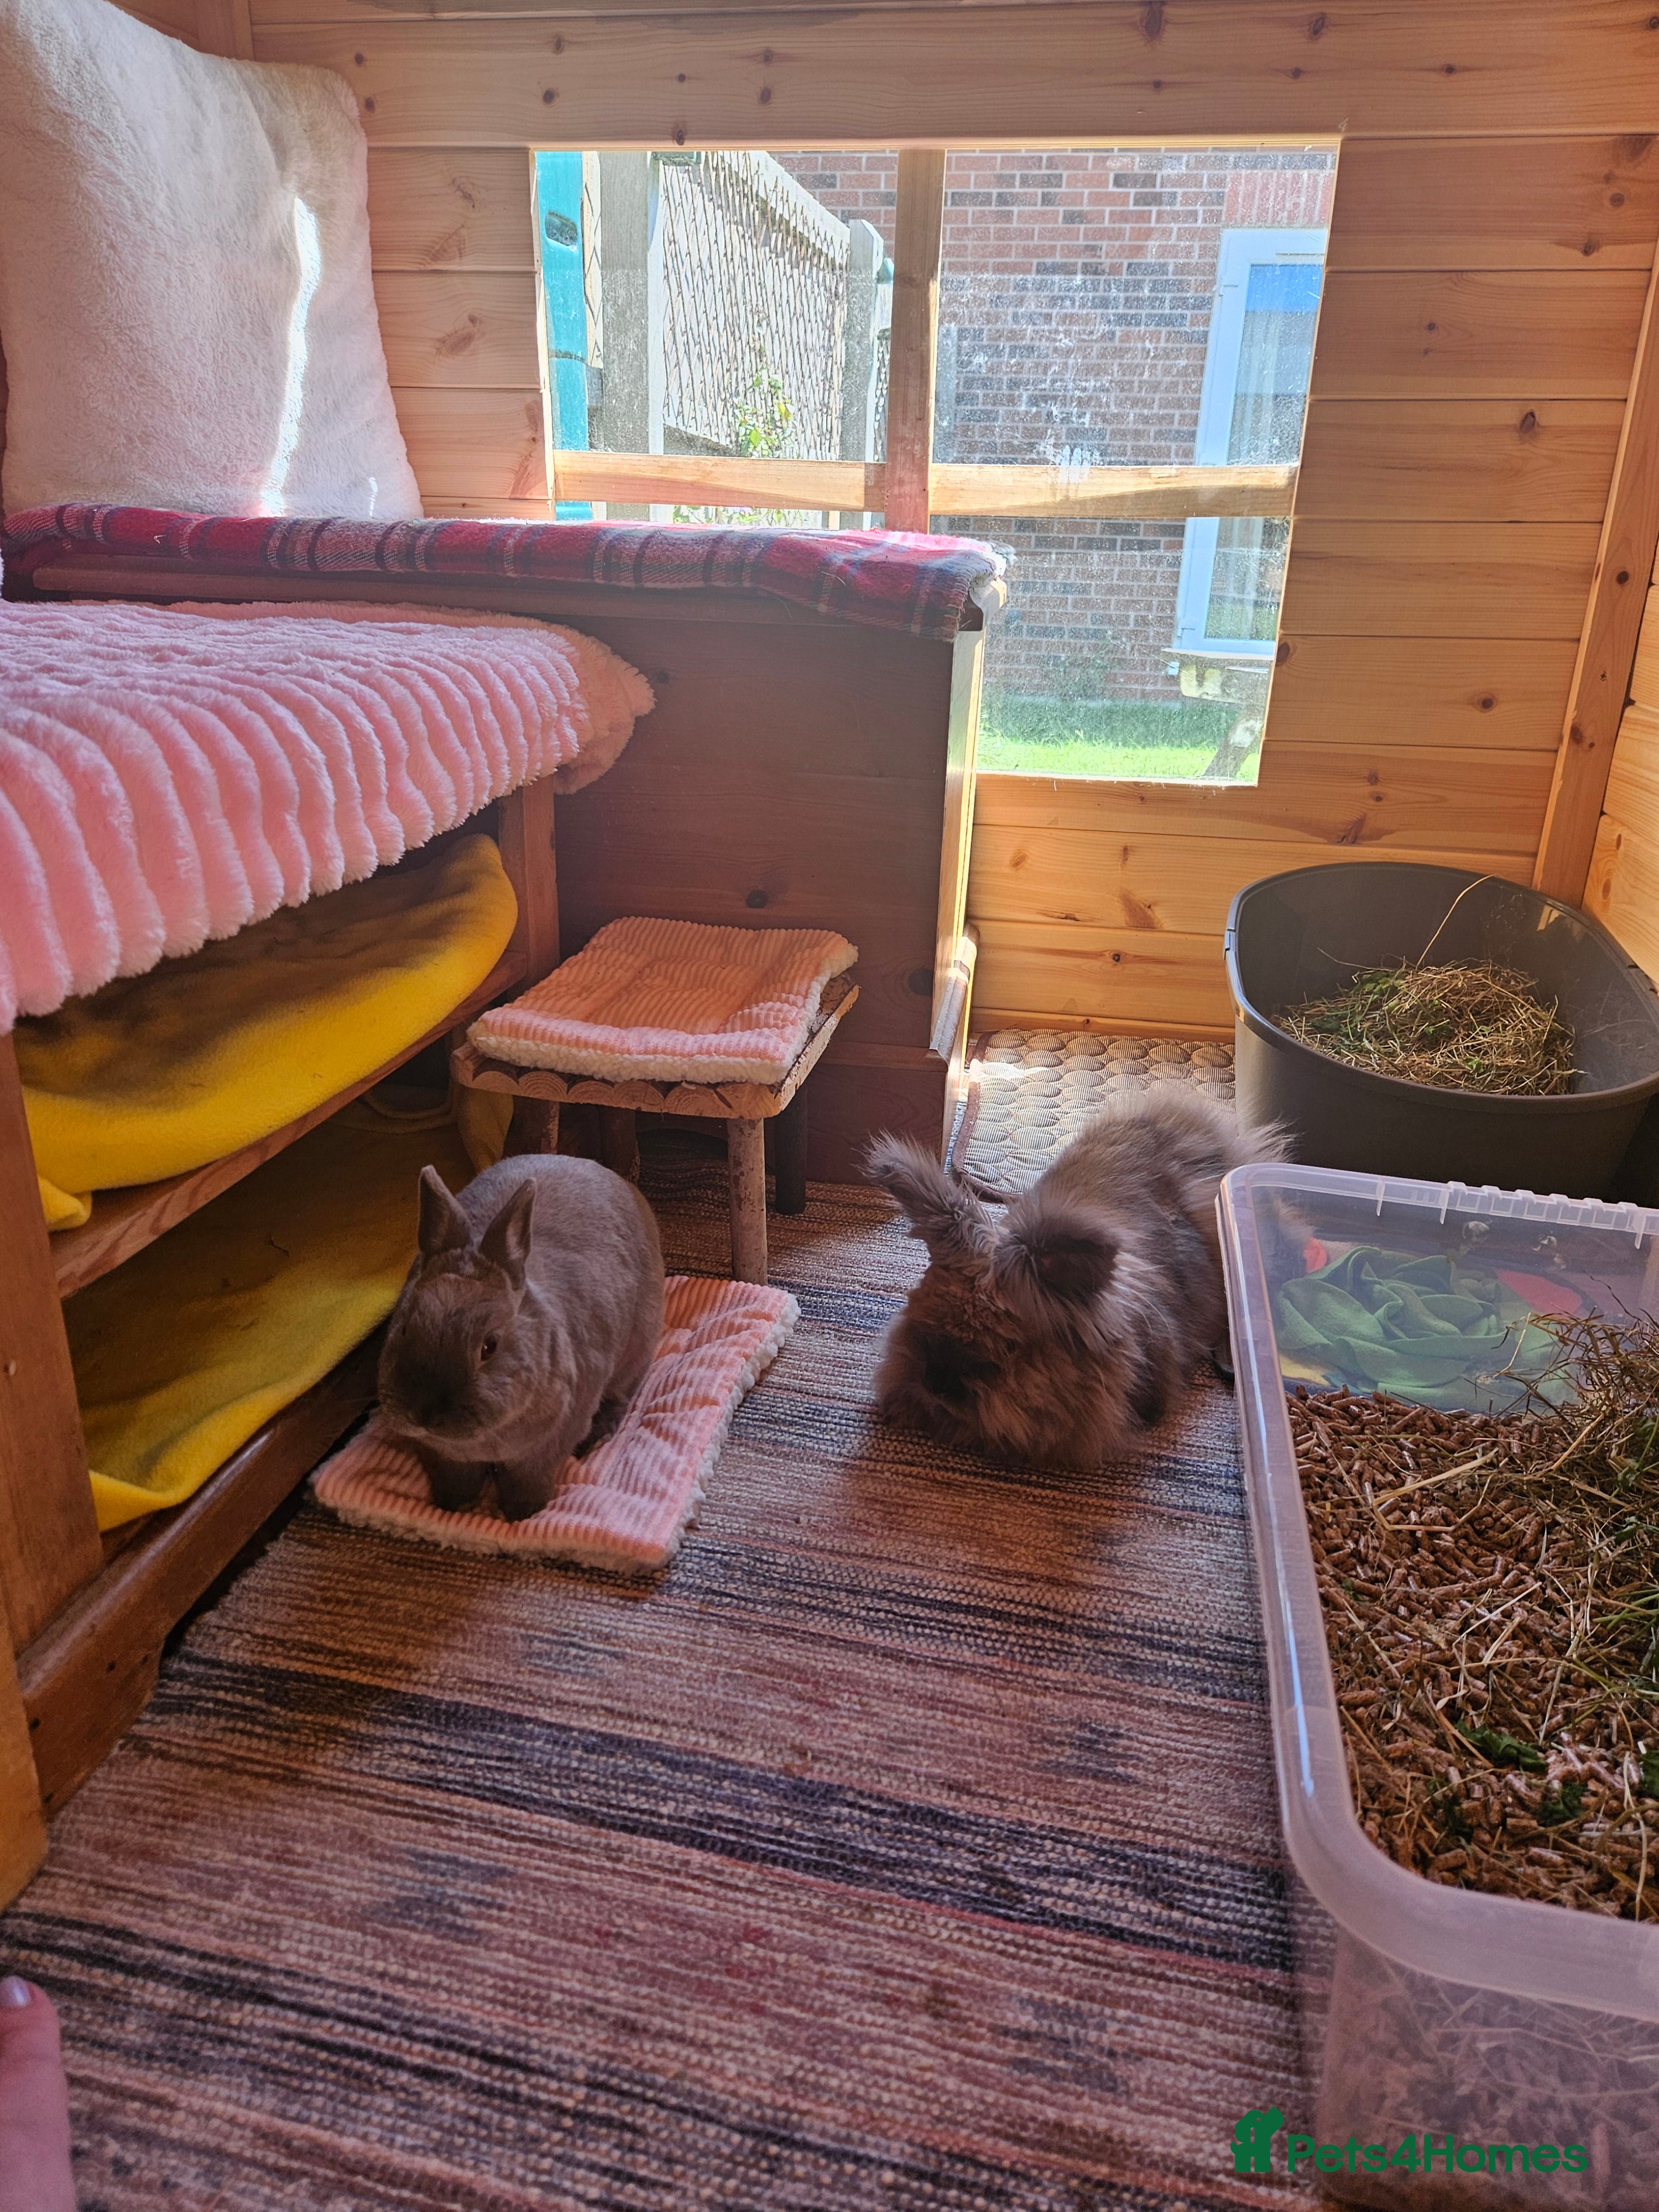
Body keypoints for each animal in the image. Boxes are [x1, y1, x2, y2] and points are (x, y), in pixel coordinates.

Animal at [377, 1153, 666, 1521]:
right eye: (403, 1329)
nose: (424, 1414)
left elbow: (528, 1479)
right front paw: (456, 1506)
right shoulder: (443, 1455)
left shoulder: (548, 1445)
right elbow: (456, 1476)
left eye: (489, 1346)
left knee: (621, 1395)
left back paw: (598, 1436)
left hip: (637, 1350)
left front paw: (521, 1515)